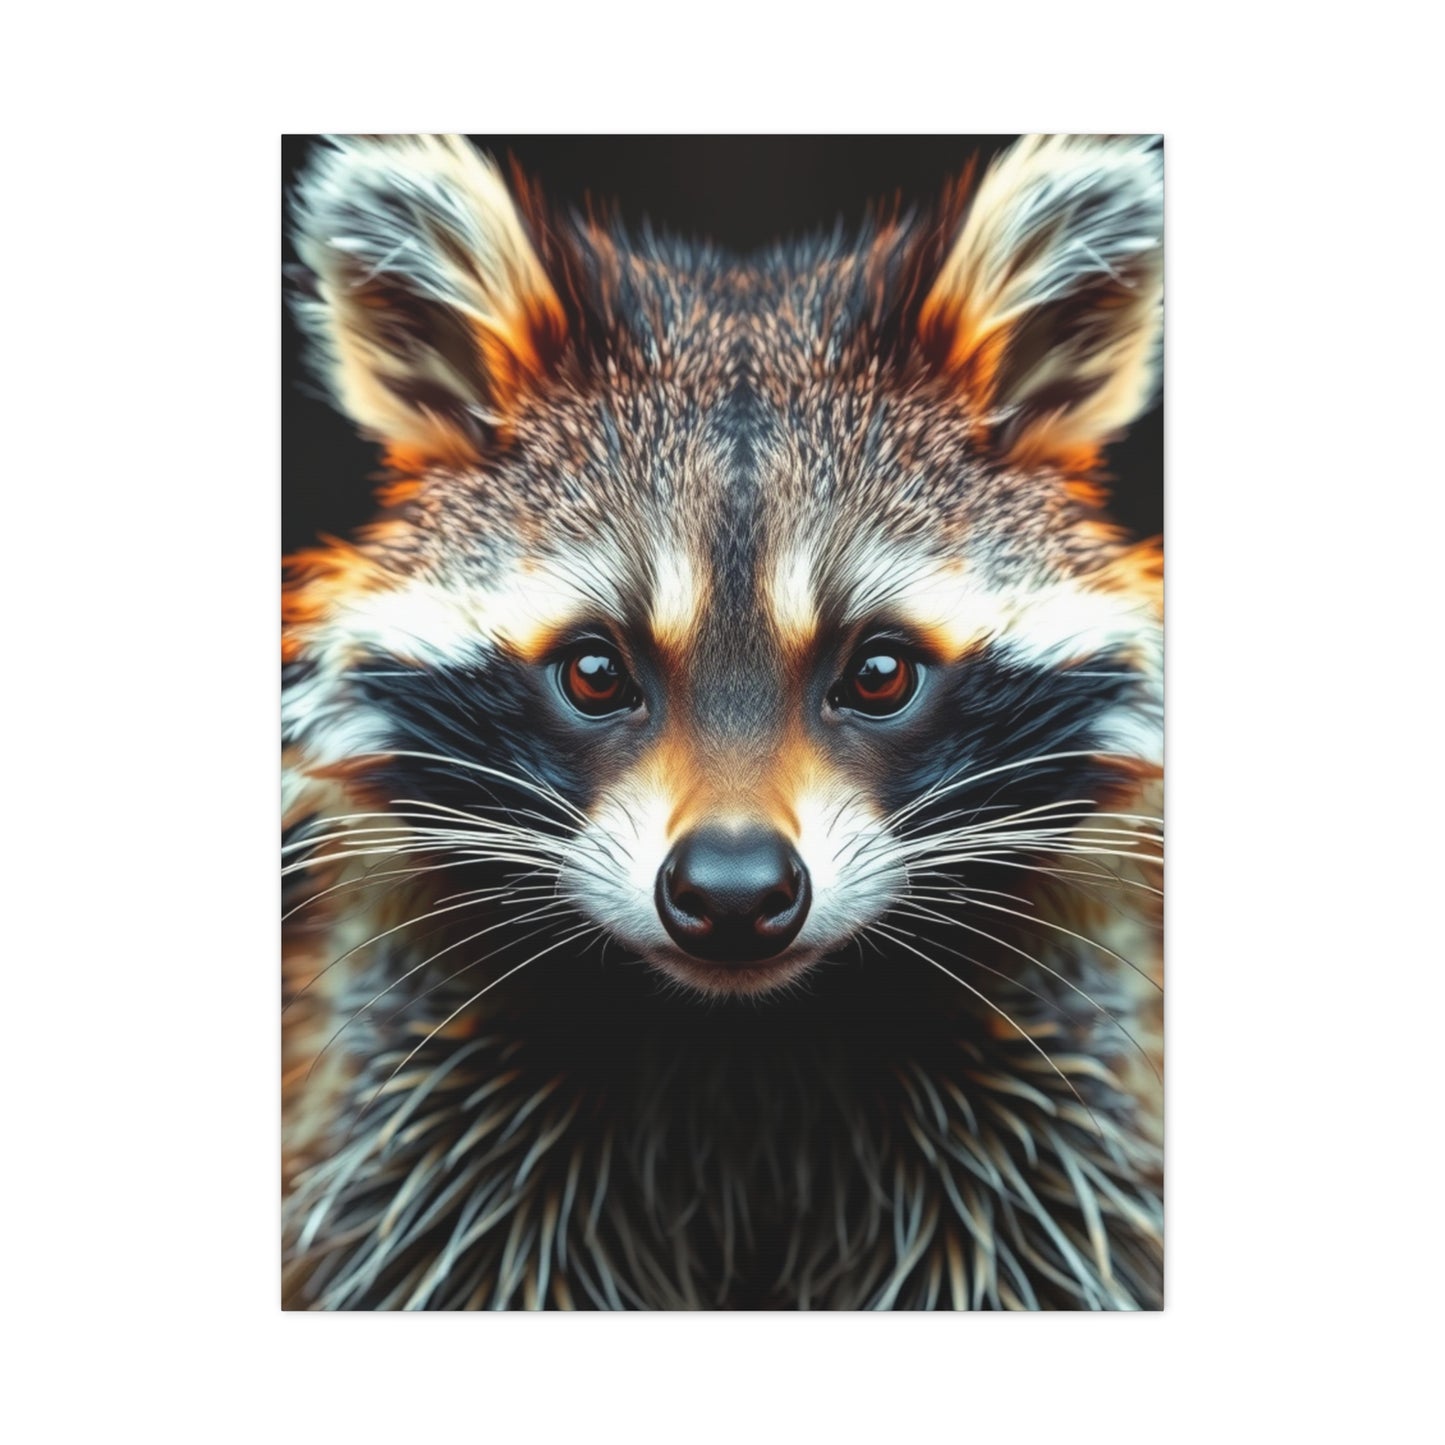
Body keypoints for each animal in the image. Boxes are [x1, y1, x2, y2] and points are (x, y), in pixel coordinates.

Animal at [282, 133, 1164, 1310]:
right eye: (594, 672)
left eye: (878, 672)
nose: (734, 893)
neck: (741, 1055)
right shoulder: (423, 1105)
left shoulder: (1046, 1111)